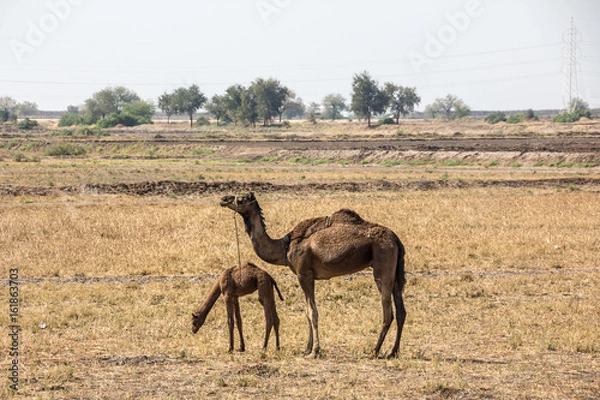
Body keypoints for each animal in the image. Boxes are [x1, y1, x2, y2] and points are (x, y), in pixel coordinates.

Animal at [218, 192, 406, 358]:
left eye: (242, 198)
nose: (224, 199)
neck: (284, 246)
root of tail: (396, 239)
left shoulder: (304, 274)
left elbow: (312, 312)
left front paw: (315, 351)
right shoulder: (307, 276)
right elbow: (308, 312)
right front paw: (307, 349)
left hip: (382, 266)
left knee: (388, 312)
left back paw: (374, 352)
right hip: (394, 273)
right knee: (401, 311)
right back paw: (392, 352)